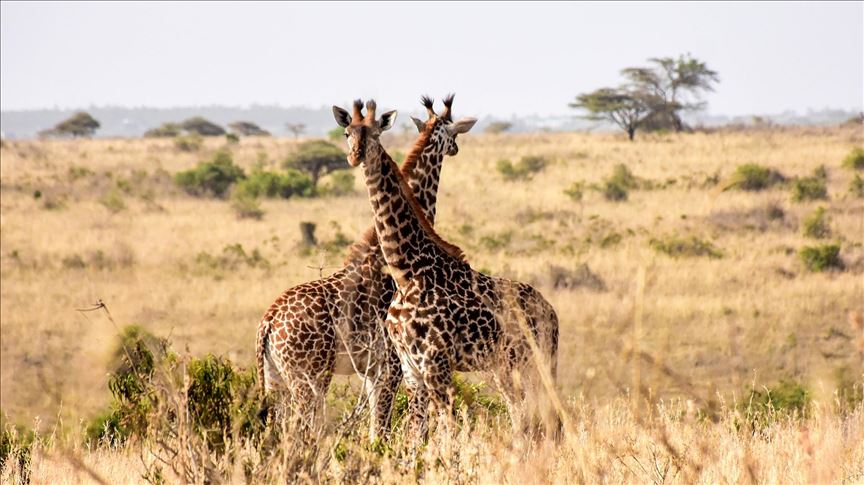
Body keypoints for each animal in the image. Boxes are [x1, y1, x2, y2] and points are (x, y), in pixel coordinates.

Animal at [255, 95, 477, 440]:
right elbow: (391, 430)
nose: (454, 148)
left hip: (274, 378)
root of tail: (267, 323)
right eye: (453, 132)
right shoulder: (391, 365)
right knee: (303, 433)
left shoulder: (374, 371)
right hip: (310, 377)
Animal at [332, 99, 559, 445]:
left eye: (374, 133)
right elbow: (419, 433)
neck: (407, 271)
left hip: (535, 361)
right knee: (523, 415)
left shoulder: (434, 363)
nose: (355, 156)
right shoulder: (411, 367)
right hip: (506, 367)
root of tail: (552, 312)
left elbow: (446, 430)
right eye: (347, 133)